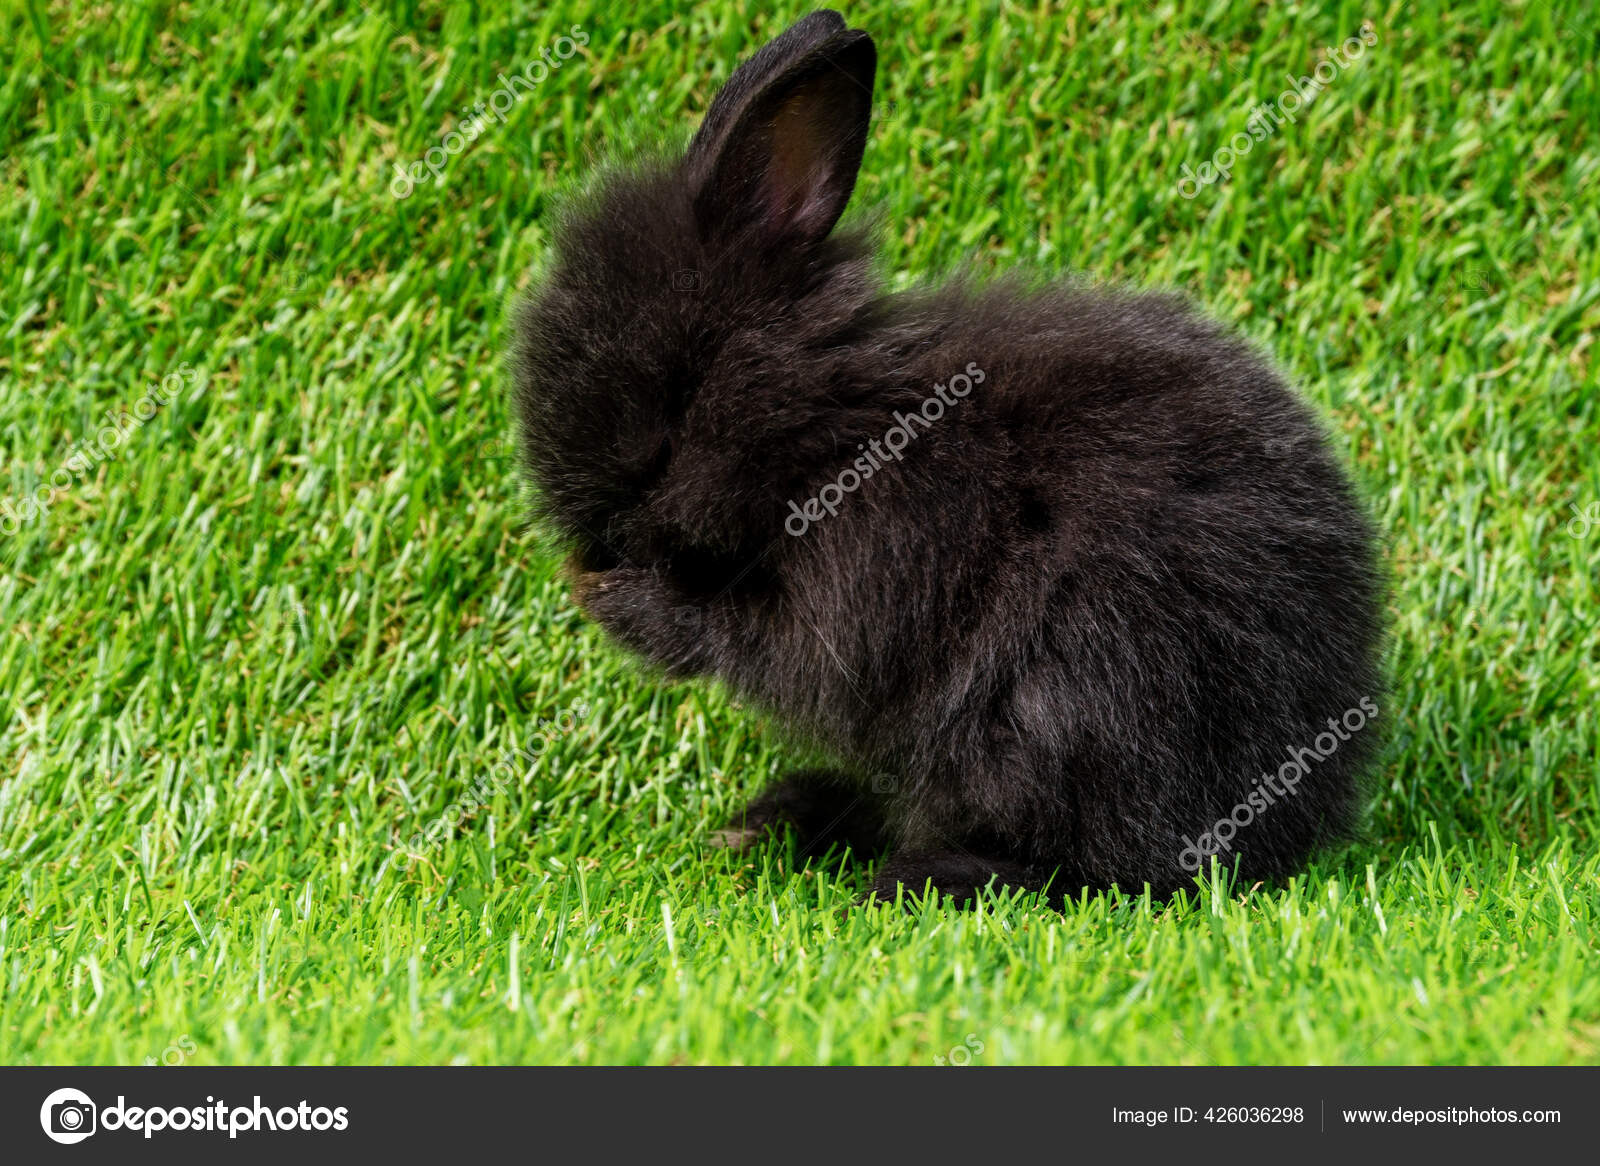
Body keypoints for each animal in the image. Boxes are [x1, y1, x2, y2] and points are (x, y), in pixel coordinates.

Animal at [511, 9, 1385, 906]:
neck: (839, 429)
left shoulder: (871, 580)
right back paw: (785, 820)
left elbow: (758, 643)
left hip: (1073, 712)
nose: (592, 549)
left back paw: (919, 874)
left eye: (676, 399)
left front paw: (620, 601)